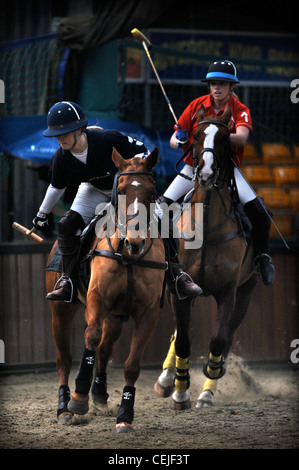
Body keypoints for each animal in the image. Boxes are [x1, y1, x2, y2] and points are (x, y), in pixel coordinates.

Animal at [47, 149, 166, 432]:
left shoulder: (148, 312)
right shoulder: (96, 297)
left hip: (115, 317)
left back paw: (100, 397)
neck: (128, 256)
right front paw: (79, 398)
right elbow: (90, 336)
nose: (135, 242)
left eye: (151, 191)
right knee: (64, 358)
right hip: (60, 311)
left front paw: (125, 416)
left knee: (104, 349)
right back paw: (64, 408)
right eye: (120, 190)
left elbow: (132, 365)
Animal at [156, 104, 258, 410]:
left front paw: (208, 384)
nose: (207, 173)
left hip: (246, 291)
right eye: (197, 136)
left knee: (228, 336)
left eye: (225, 138)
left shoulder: (229, 291)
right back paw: (166, 379)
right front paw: (180, 391)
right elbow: (183, 341)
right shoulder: (180, 289)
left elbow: (218, 341)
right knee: (178, 334)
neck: (206, 228)